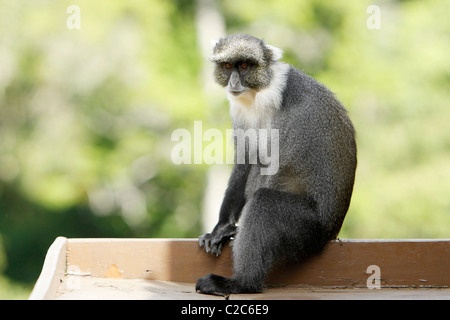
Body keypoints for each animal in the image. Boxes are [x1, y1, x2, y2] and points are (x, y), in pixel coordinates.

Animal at [196, 34, 356, 296]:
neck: (259, 92)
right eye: (228, 66)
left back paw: (242, 283)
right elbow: (246, 159)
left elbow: (277, 167)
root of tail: (331, 233)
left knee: (264, 202)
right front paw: (222, 229)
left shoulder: (291, 118)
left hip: (307, 229)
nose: (234, 82)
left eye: (244, 66)